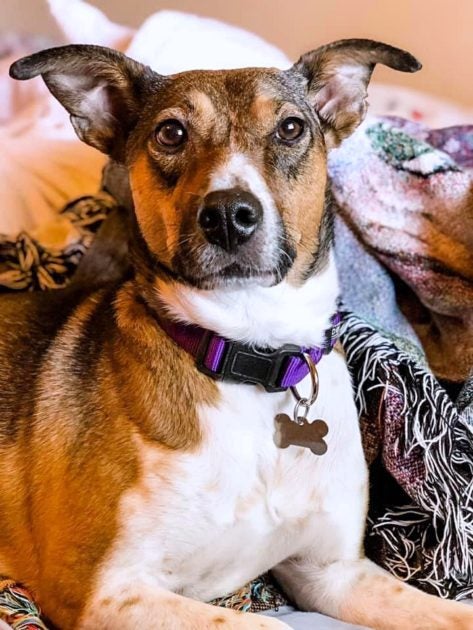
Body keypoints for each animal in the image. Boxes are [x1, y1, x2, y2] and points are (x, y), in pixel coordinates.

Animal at [2, 39, 473, 630]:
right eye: (171, 132)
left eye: (291, 128)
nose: (228, 215)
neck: (253, 356)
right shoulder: (98, 591)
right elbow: (267, 622)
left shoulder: (333, 574)